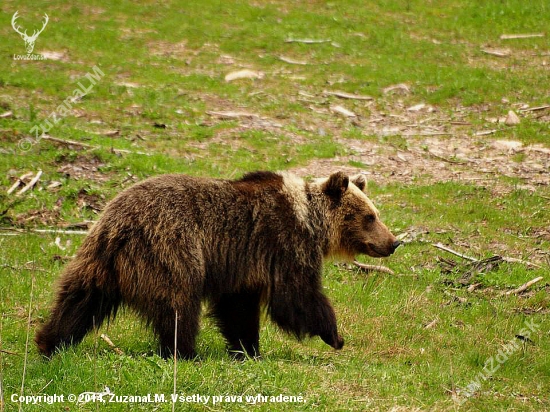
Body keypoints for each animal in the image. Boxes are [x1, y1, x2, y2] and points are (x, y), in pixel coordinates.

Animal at [35, 169, 402, 358]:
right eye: (369, 216)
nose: (394, 242)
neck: (312, 221)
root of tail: (120, 222)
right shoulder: (285, 245)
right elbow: (297, 297)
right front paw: (334, 335)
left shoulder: (243, 266)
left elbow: (238, 309)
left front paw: (248, 349)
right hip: (173, 249)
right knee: (178, 304)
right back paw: (184, 351)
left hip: (98, 260)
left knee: (78, 298)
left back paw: (50, 341)